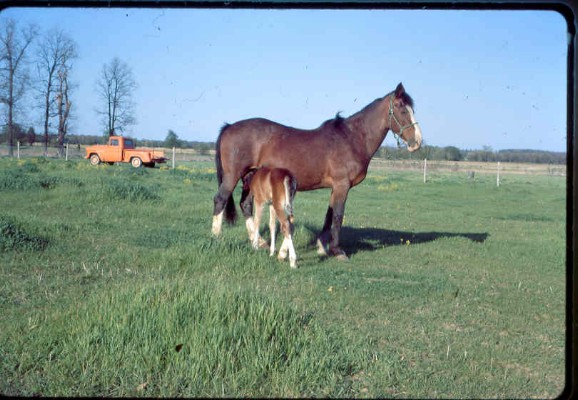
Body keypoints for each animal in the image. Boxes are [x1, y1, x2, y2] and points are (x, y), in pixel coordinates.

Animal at [209, 83, 420, 260]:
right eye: (402, 108)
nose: (417, 142)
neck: (352, 138)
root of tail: (229, 127)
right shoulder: (342, 185)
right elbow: (338, 215)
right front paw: (337, 251)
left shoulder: (336, 187)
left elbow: (329, 215)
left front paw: (321, 246)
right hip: (232, 176)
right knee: (220, 200)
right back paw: (216, 238)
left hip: (249, 178)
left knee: (245, 205)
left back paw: (259, 242)